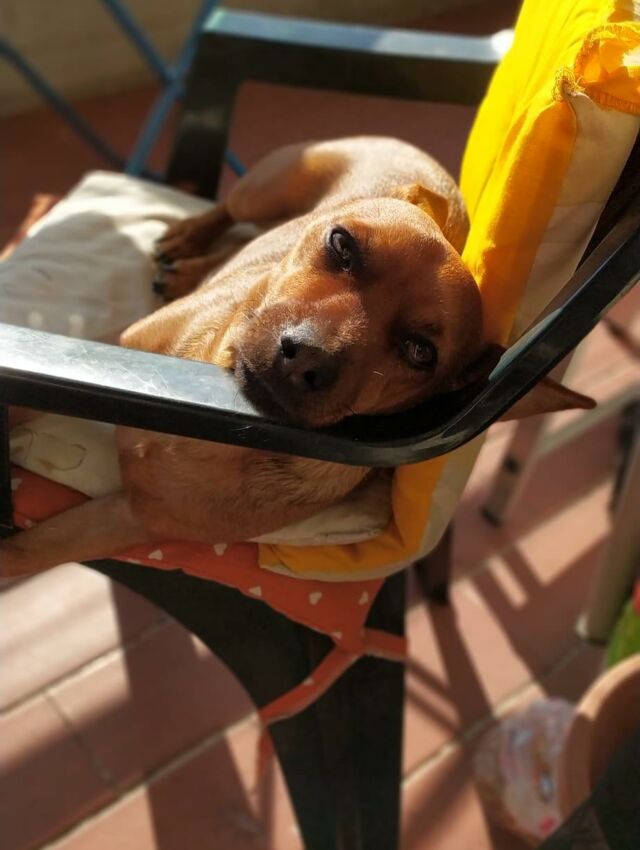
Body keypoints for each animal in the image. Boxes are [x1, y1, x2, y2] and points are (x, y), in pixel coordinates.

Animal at [0, 137, 594, 577]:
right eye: (342, 244)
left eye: (421, 351)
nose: (306, 356)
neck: (207, 408)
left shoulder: (128, 519)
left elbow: (28, 552)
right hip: (263, 192)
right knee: (229, 213)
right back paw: (188, 239)